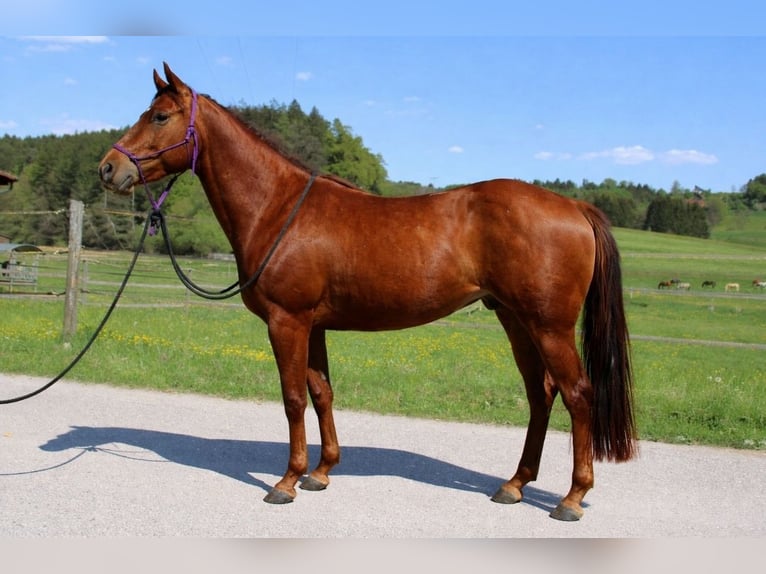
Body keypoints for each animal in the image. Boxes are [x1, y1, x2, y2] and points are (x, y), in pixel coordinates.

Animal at [98, 63, 637, 522]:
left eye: (160, 116)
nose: (108, 169)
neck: (278, 207)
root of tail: (573, 206)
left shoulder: (287, 322)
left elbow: (292, 398)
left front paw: (286, 482)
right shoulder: (312, 325)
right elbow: (321, 393)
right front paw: (320, 472)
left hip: (549, 326)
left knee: (578, 395)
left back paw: (572, 497)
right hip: (515, 319)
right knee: (540, 394)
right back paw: (515, 484)